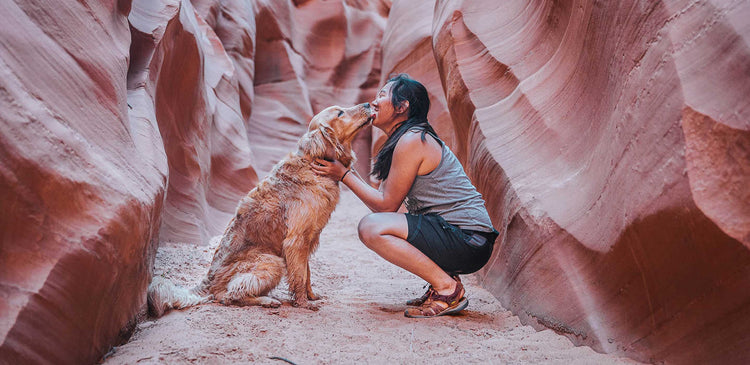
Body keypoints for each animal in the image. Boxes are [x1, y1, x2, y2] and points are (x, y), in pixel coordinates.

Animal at [150, 102, 376, 316]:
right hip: (272, 261)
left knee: (225, 295)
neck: (311, 163)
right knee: (229, 295)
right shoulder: (296, 240)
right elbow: (299, 276)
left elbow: (306, 273)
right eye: (340, 113)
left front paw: (311, 295)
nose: (368, 104)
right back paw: (267, 300)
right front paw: (303, 303)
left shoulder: (307, 239)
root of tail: (207, 281)